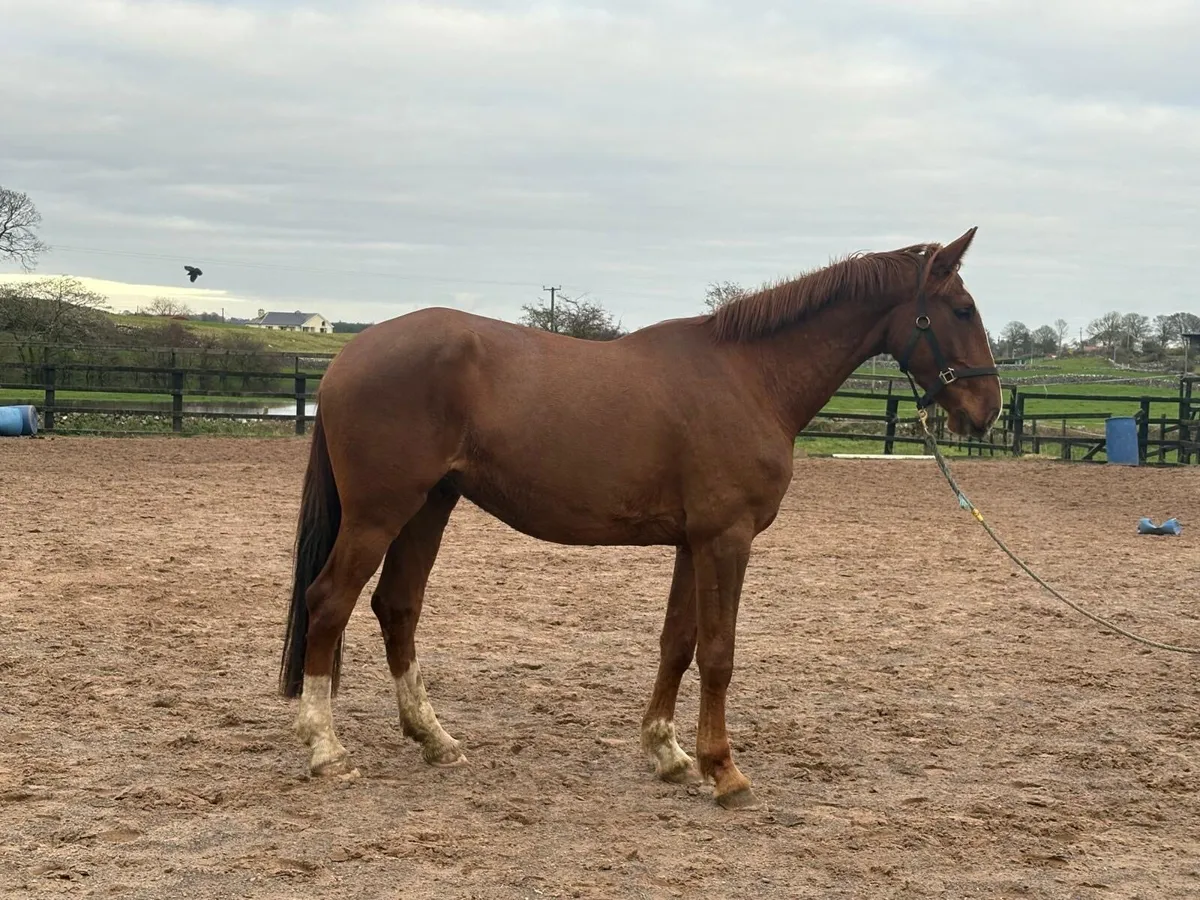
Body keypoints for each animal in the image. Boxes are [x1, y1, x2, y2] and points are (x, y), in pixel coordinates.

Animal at [277, 226, 1002, 811]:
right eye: (962, 308)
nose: (988, 410)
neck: (750, 377)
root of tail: (348, 357)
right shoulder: (727, 539)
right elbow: (718, 653)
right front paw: (724, 770)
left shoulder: (692, 542)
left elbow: (677, 643)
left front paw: (668, 753)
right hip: (380, 513)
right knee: (329, 601)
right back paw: (327, 750)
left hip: (429, 506)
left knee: (396, 606)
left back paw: (435, 738)